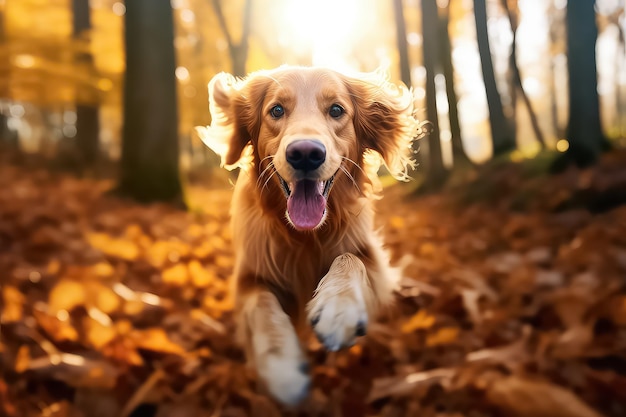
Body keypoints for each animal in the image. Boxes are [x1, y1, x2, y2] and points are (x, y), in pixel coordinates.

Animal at [197, 66, 416, 404]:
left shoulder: (374, 261)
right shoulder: (248, 277)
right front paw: (281, 366)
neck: (304, 237)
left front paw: (339, 309)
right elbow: (262, 304)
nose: (305, 154)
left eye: (336, 110)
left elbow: (351, 258)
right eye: (276, 110)